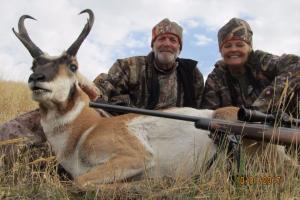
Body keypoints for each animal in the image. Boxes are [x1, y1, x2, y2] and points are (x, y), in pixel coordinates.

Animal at [12, 9, 290, 188]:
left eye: (72, 65)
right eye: (34, 64)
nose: (37, 78)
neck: (85, 129)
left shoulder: (137, 157)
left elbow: (80, 182)